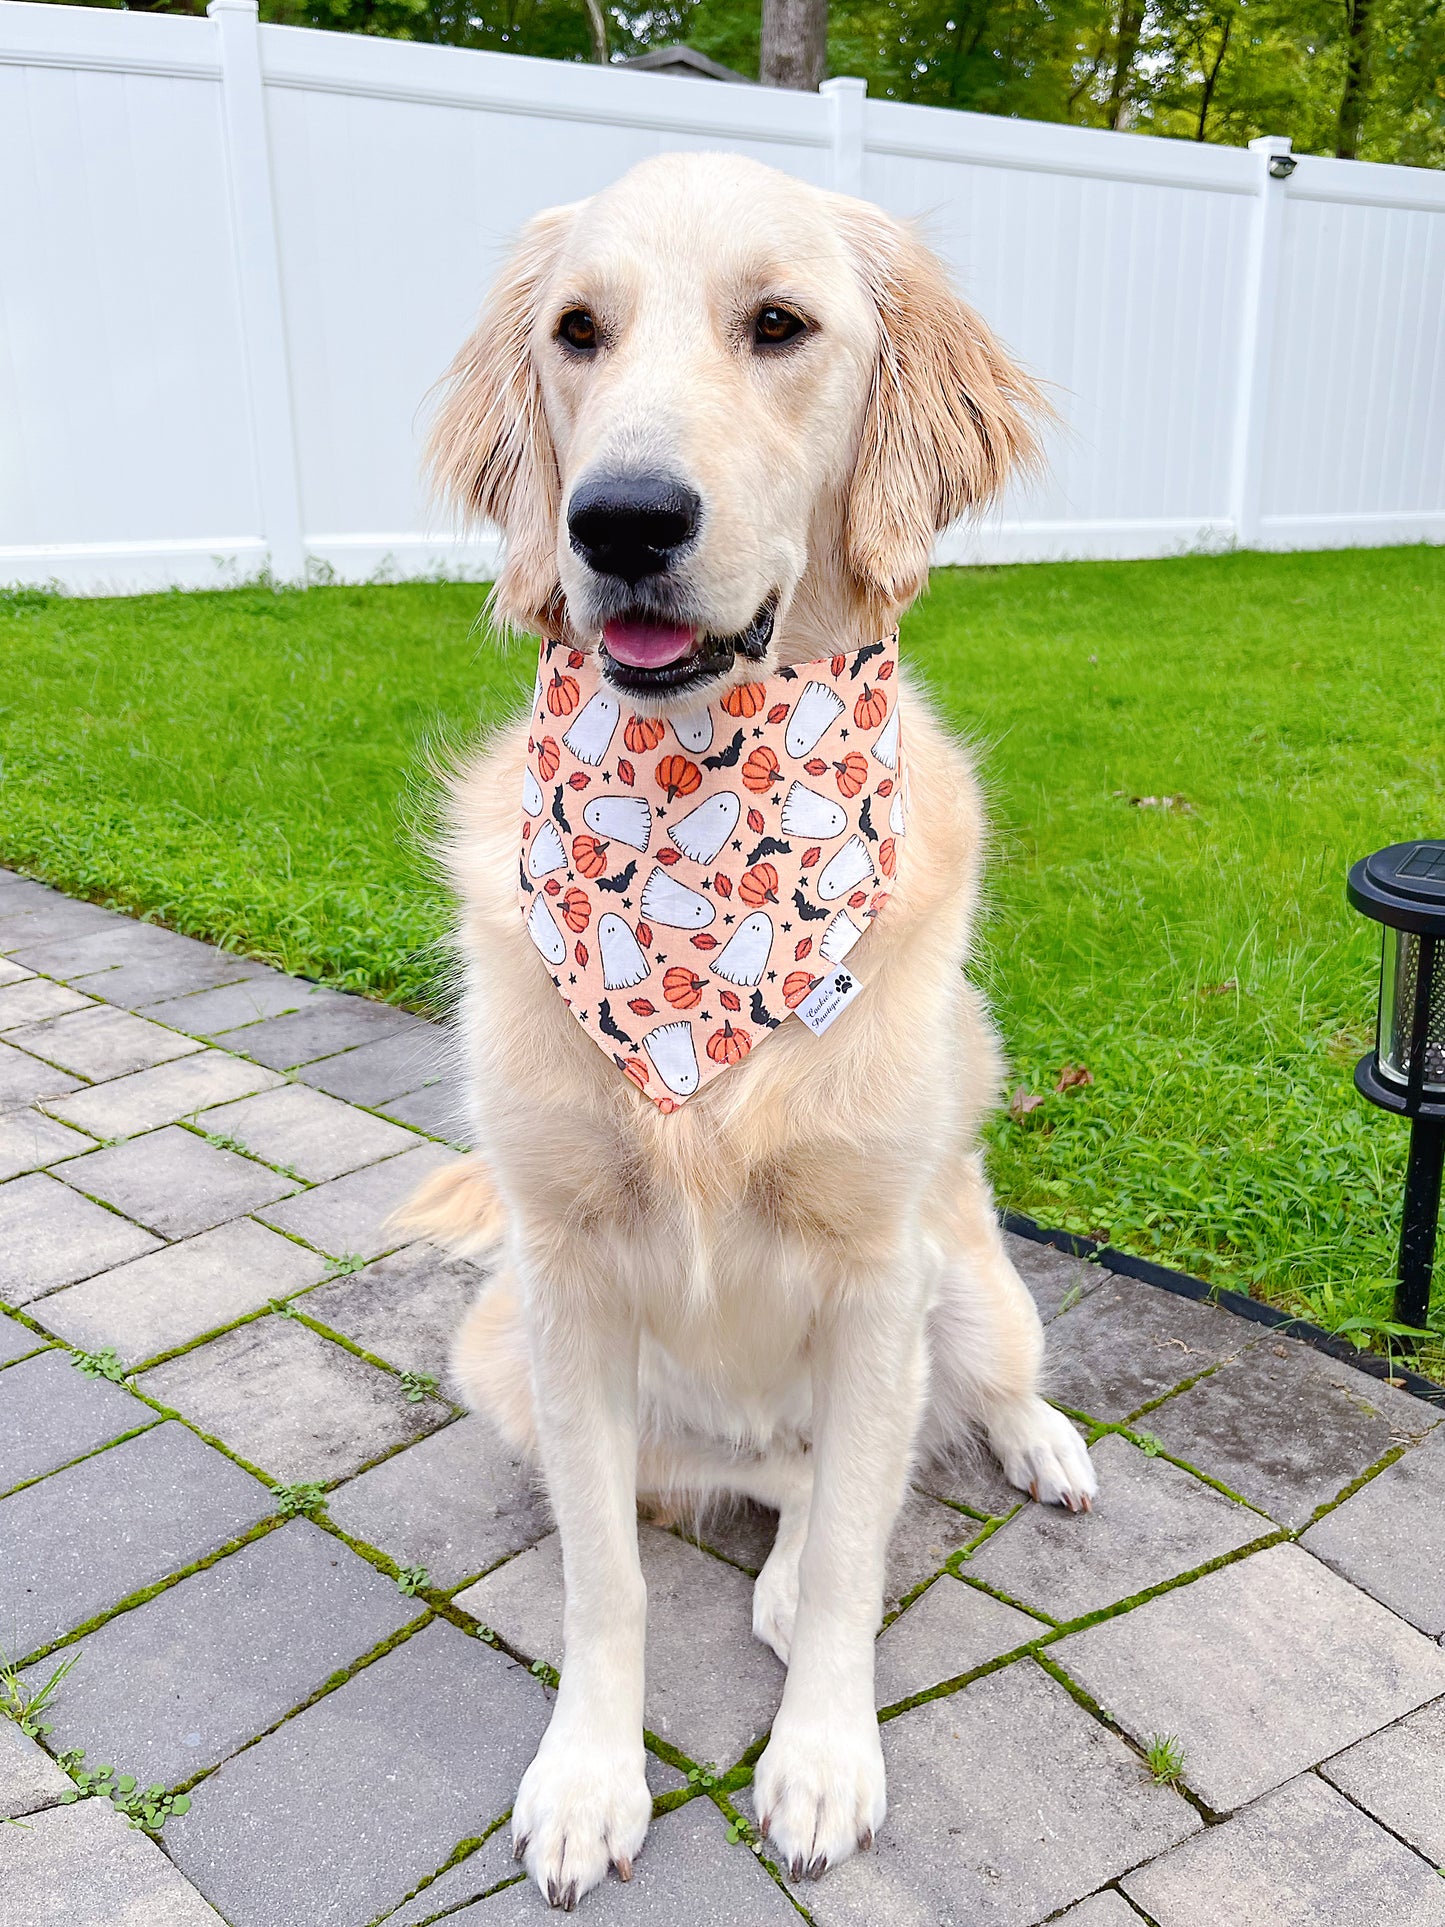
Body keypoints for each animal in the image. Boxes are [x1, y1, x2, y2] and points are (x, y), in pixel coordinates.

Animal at [404, 154, 1094, 1911]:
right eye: (578, 332)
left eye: (778, 324)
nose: (620, 520)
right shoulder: (565, 1286)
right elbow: (611, 1577)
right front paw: (588, 1778)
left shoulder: (875, 1270)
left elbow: (857, 1543)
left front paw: (824, 1757)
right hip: (498, 1354)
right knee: (768, 1473)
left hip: (966, 1276)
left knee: (949, 1412)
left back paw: (1042, 1444)